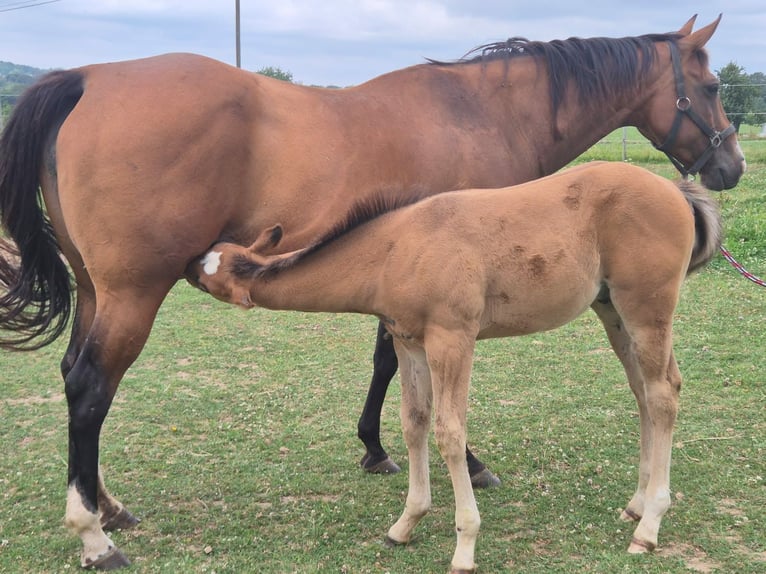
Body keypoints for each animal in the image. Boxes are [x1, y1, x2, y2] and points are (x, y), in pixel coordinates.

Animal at [187, 161, 723, 573]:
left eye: (211, 274)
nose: (188, 264)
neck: (395, 249)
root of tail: (675, 189)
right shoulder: (410, 344)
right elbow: (414, 423)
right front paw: (406, 523)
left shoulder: (453, 340)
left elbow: (449, 431)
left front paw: (465, 544)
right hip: (613, 312)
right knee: (645, 392)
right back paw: (636, 504)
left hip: (647, 310)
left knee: (663, 394)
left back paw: (650, 525)